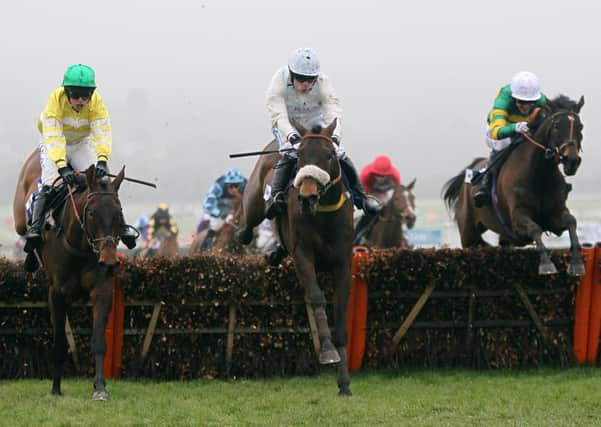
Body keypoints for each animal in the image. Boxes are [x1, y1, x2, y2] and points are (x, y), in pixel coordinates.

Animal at [13, 158, 127, 402]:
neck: (80, 246)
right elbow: (58, 343)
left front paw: (100, 387)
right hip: (19, 218)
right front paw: (55, 388)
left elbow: (99, 341)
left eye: (118, 212)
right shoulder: (57, 293)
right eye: (92, 212)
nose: (109, 262)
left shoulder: (102, 290)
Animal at [237, 118, 354, 396]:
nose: (307, 197)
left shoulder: (343, 263)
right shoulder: (303, 257)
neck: (324, 213)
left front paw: (344, 382)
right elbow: (317, 298)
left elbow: (340, 312)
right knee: (247, 228)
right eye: (299, 156)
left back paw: (275, 254)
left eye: (329, 155)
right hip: (254, 203)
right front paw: (327, 350)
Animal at [442, 95, 584, 276]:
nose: (572, 161)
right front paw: (546, 264)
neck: (539, 174)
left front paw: (576, 263)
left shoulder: (555, 214)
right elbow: (535, 228)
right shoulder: (517, 217)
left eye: (580, 127)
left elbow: (572, 222)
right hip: (468, 233)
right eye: (557, 126)